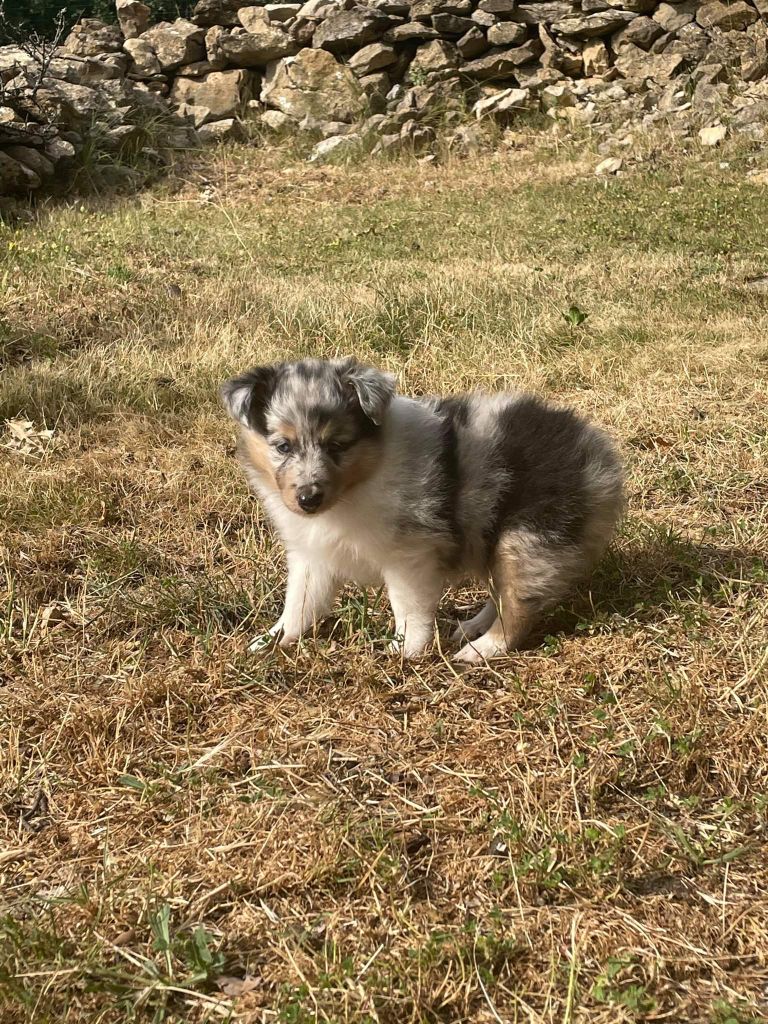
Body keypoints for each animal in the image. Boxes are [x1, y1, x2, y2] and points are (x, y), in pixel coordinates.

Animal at [221, 360, 626, 663]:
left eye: (337, 445)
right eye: (282, 446)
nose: (308, 499)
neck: (359, 481)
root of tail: (596, 452)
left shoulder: (408, 555)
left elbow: (407, 608)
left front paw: (405, 651)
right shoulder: (312, 555)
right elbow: (299, 604)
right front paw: (273, 640)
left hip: (525, 539)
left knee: (518, 605)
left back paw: (482, 648)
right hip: (494, 540)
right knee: (501, 593)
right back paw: (471, 627)